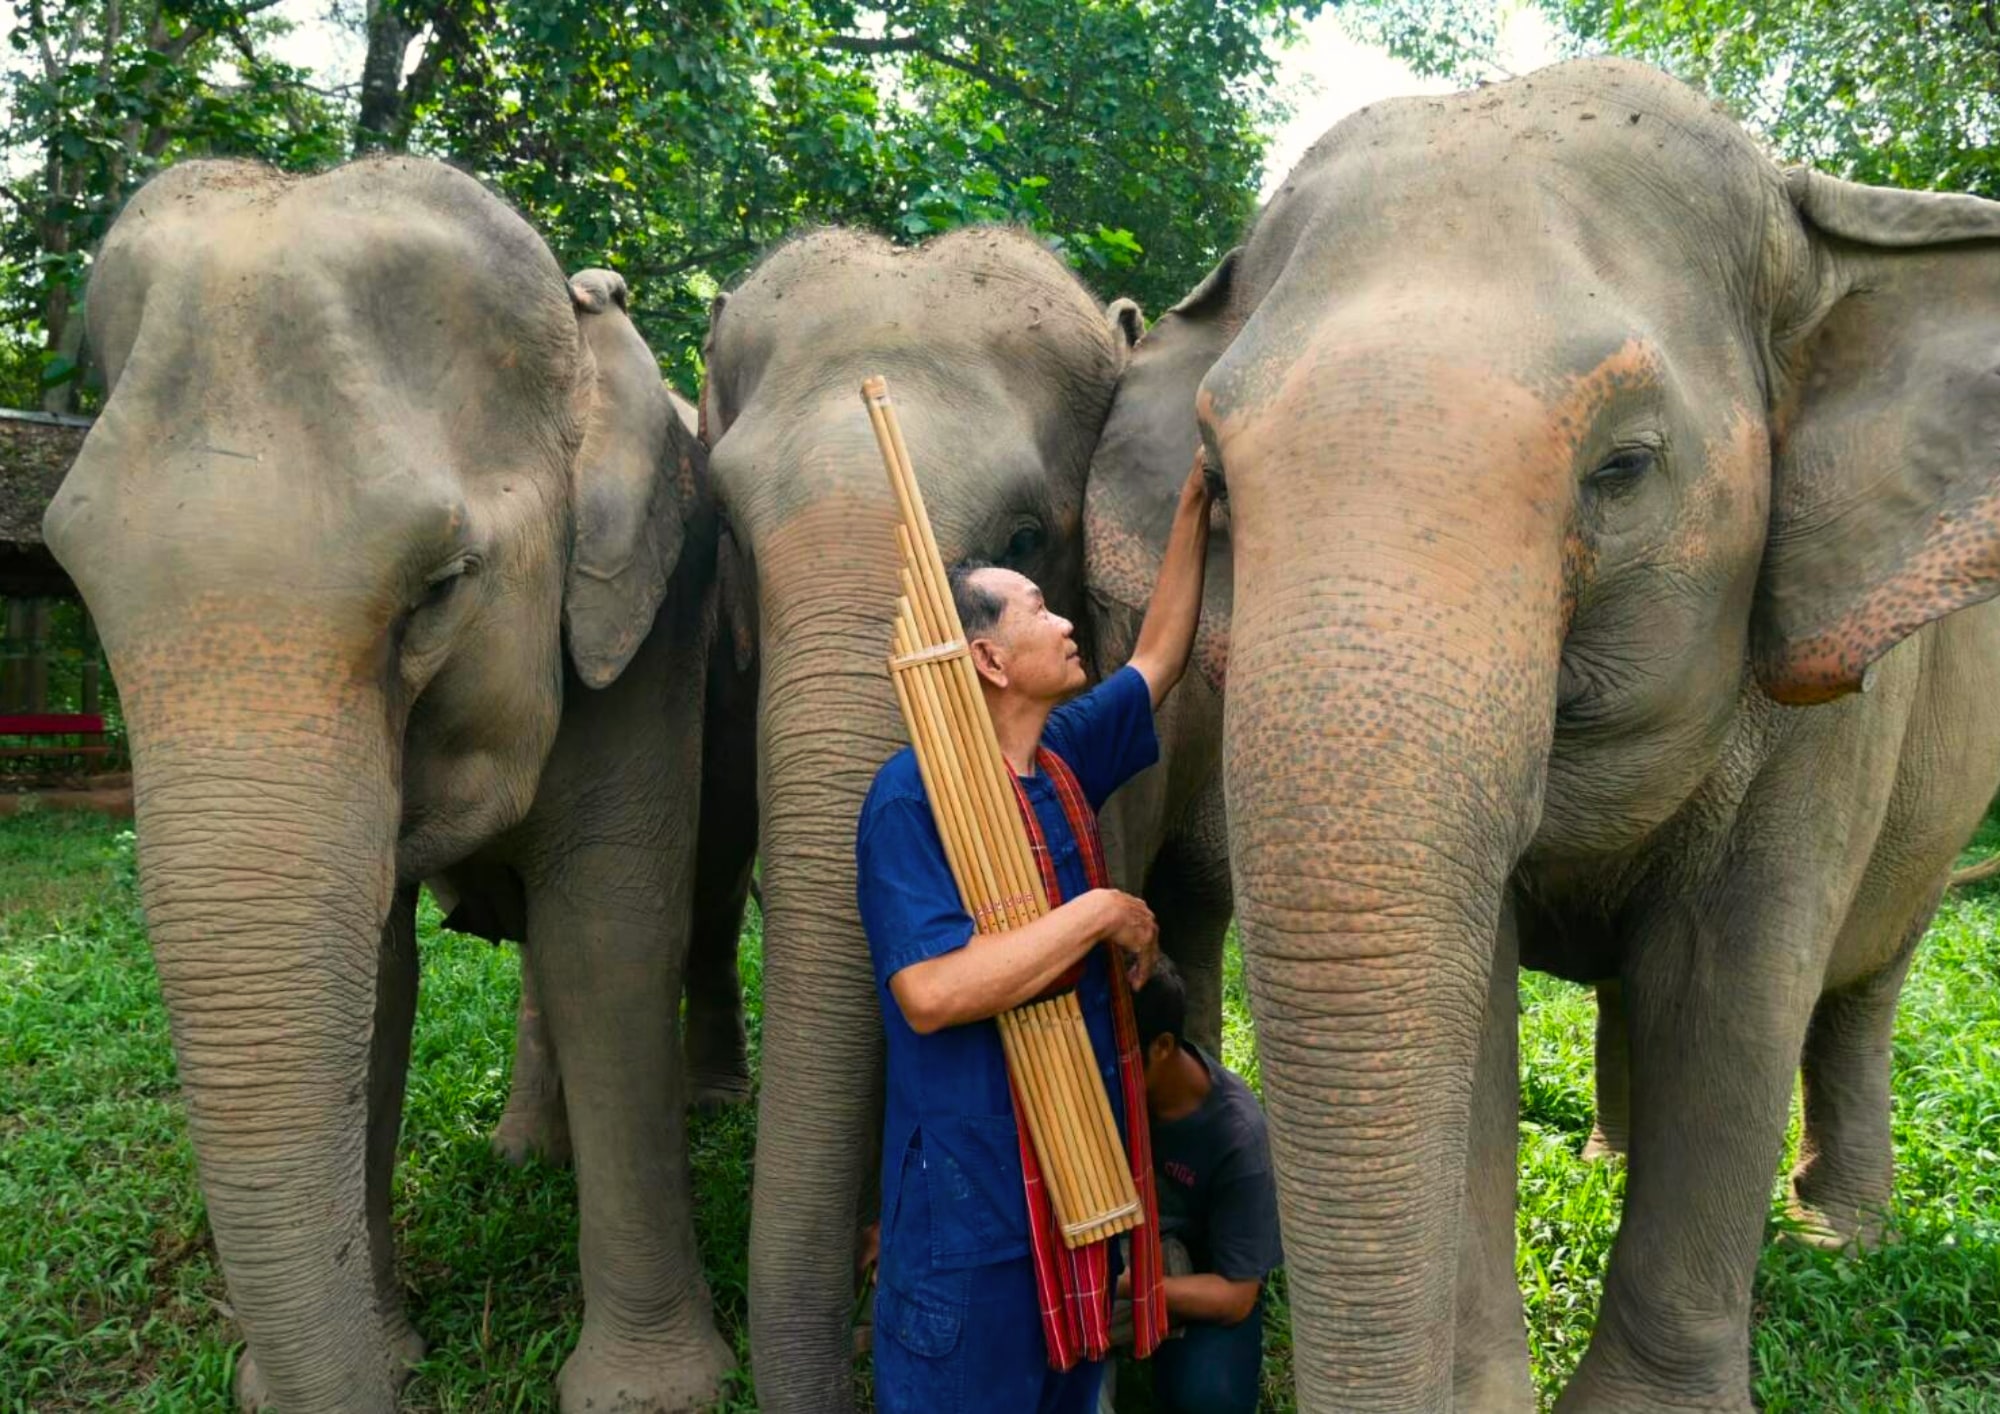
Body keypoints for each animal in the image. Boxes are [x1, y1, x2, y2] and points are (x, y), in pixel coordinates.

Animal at [43, 157, 732, 1412]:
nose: (261, 1385)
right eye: (77, 578)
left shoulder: (651, 628)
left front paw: (651, 1394)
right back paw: (523, 1153)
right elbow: (376, 971)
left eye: (441, 585)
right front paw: (388, 1341)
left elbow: (609, 934)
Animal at [1192, 58, 2000, 1411]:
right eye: (1208, 479)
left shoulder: (1822, 702)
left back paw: (1837, 1231)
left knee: (1859, 984)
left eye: (1622, 469)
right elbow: (1472, 1002)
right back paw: (1613, 1160)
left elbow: (1731, 991)